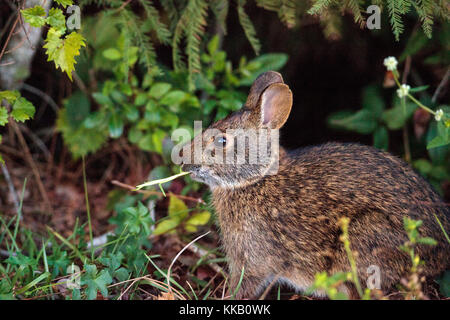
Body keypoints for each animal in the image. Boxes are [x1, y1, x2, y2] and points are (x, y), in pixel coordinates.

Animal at [180, 71, 450, 298]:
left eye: (222, 141)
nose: (183, 156)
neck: (256, 179)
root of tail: (441, 254)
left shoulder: (253, 257)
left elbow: (246, 283)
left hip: (363, 240)